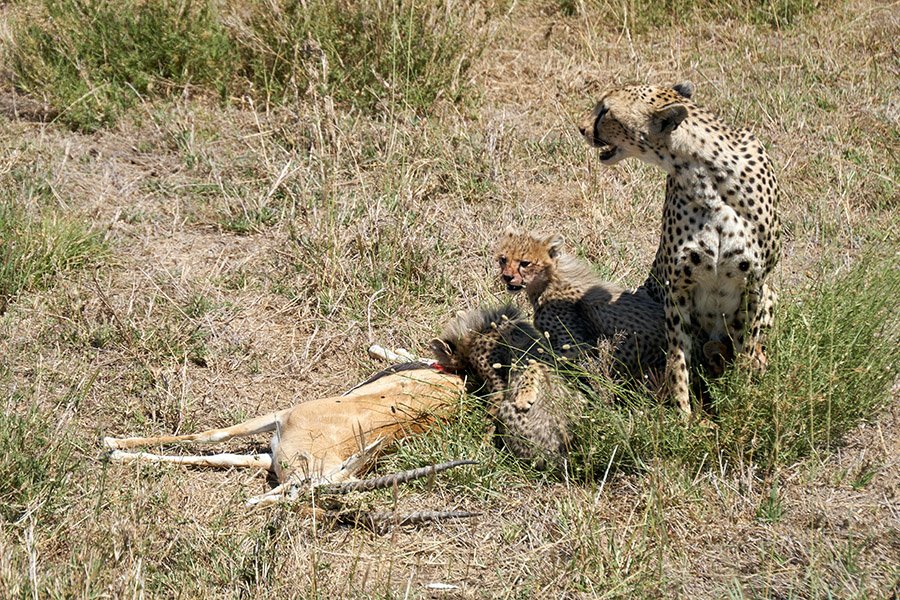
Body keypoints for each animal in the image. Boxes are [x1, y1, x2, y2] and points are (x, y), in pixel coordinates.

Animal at [492, 227, 668, 386]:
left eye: (525, 263)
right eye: (503, 259)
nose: (507, 277)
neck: (549, 281)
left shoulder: (574, 343)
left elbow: (537, 360)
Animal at [580, 82, 776, 414]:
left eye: (606, 111)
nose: (580, 127)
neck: (705, 176)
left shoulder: (754, 285)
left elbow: (746, 347)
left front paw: (744, 400)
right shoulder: (678, 288)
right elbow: (678, 359)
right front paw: (682, 414)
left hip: (769, 294)